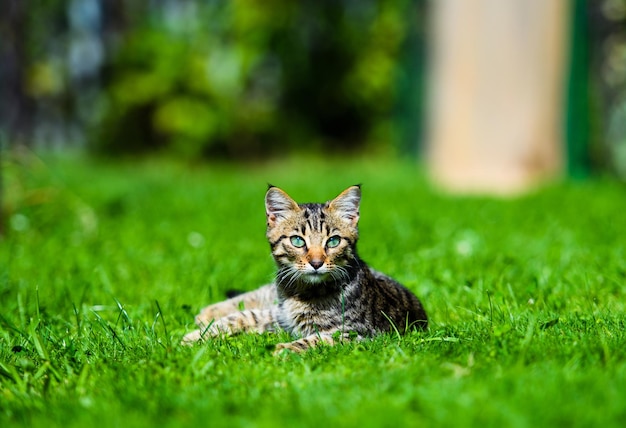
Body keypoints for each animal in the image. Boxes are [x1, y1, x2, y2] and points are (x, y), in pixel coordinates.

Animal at [180, 186, 424, 352]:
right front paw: (198, 335)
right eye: (298, 241)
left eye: (333, 241)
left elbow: (322, 339)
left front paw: (285, 348)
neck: (299, 293)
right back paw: (208, 313)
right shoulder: (279, 315)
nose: (316, 263)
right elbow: (242, 316)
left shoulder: (363, 333)